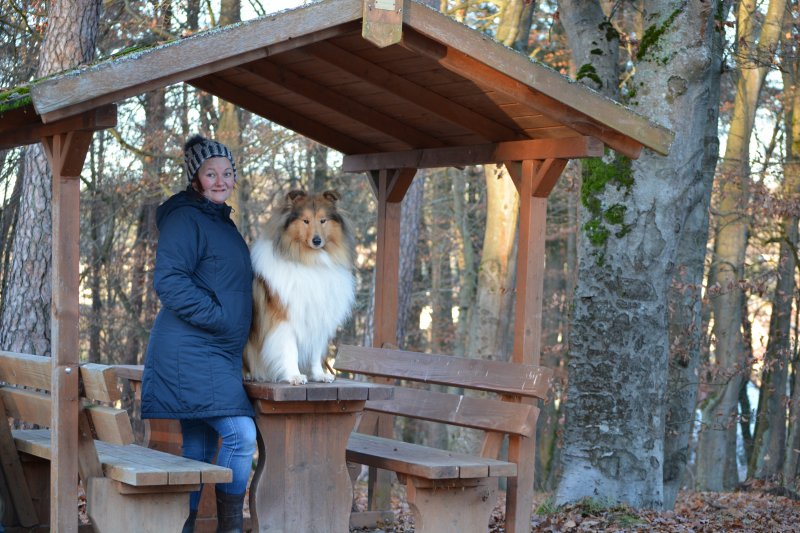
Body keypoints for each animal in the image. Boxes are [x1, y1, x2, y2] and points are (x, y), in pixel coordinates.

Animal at [244, 189, 355, 384]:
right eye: (305, 220)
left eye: (323, 220)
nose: (317, 241)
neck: (311, 262)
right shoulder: (284, 319)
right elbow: (290, 349)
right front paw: (294, 375)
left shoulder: (318, 318)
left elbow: (315, 352)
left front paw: (319, 375)